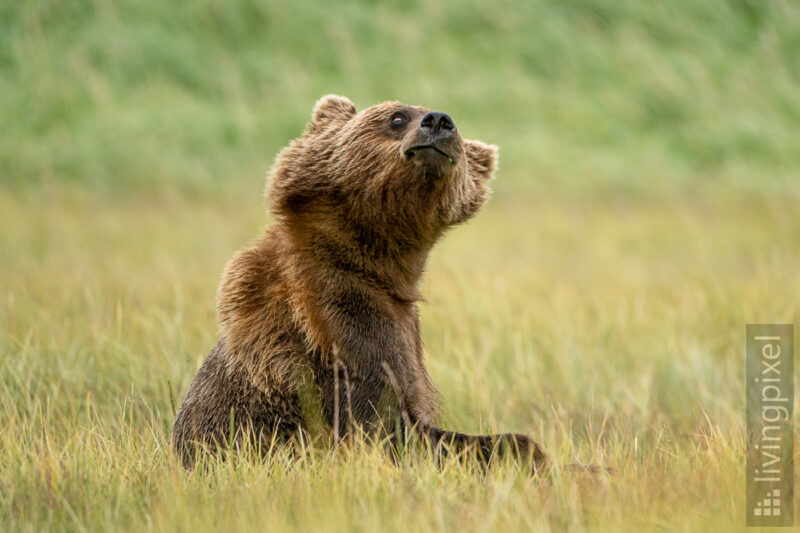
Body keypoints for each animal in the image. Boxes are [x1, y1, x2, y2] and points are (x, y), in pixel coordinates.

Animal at [173, 94, 552, 470]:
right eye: (397, 117)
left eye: (456, 129)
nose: (439, 121)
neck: (378, 263)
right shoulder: (344, 327)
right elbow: (383, 428)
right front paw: (536, 454)